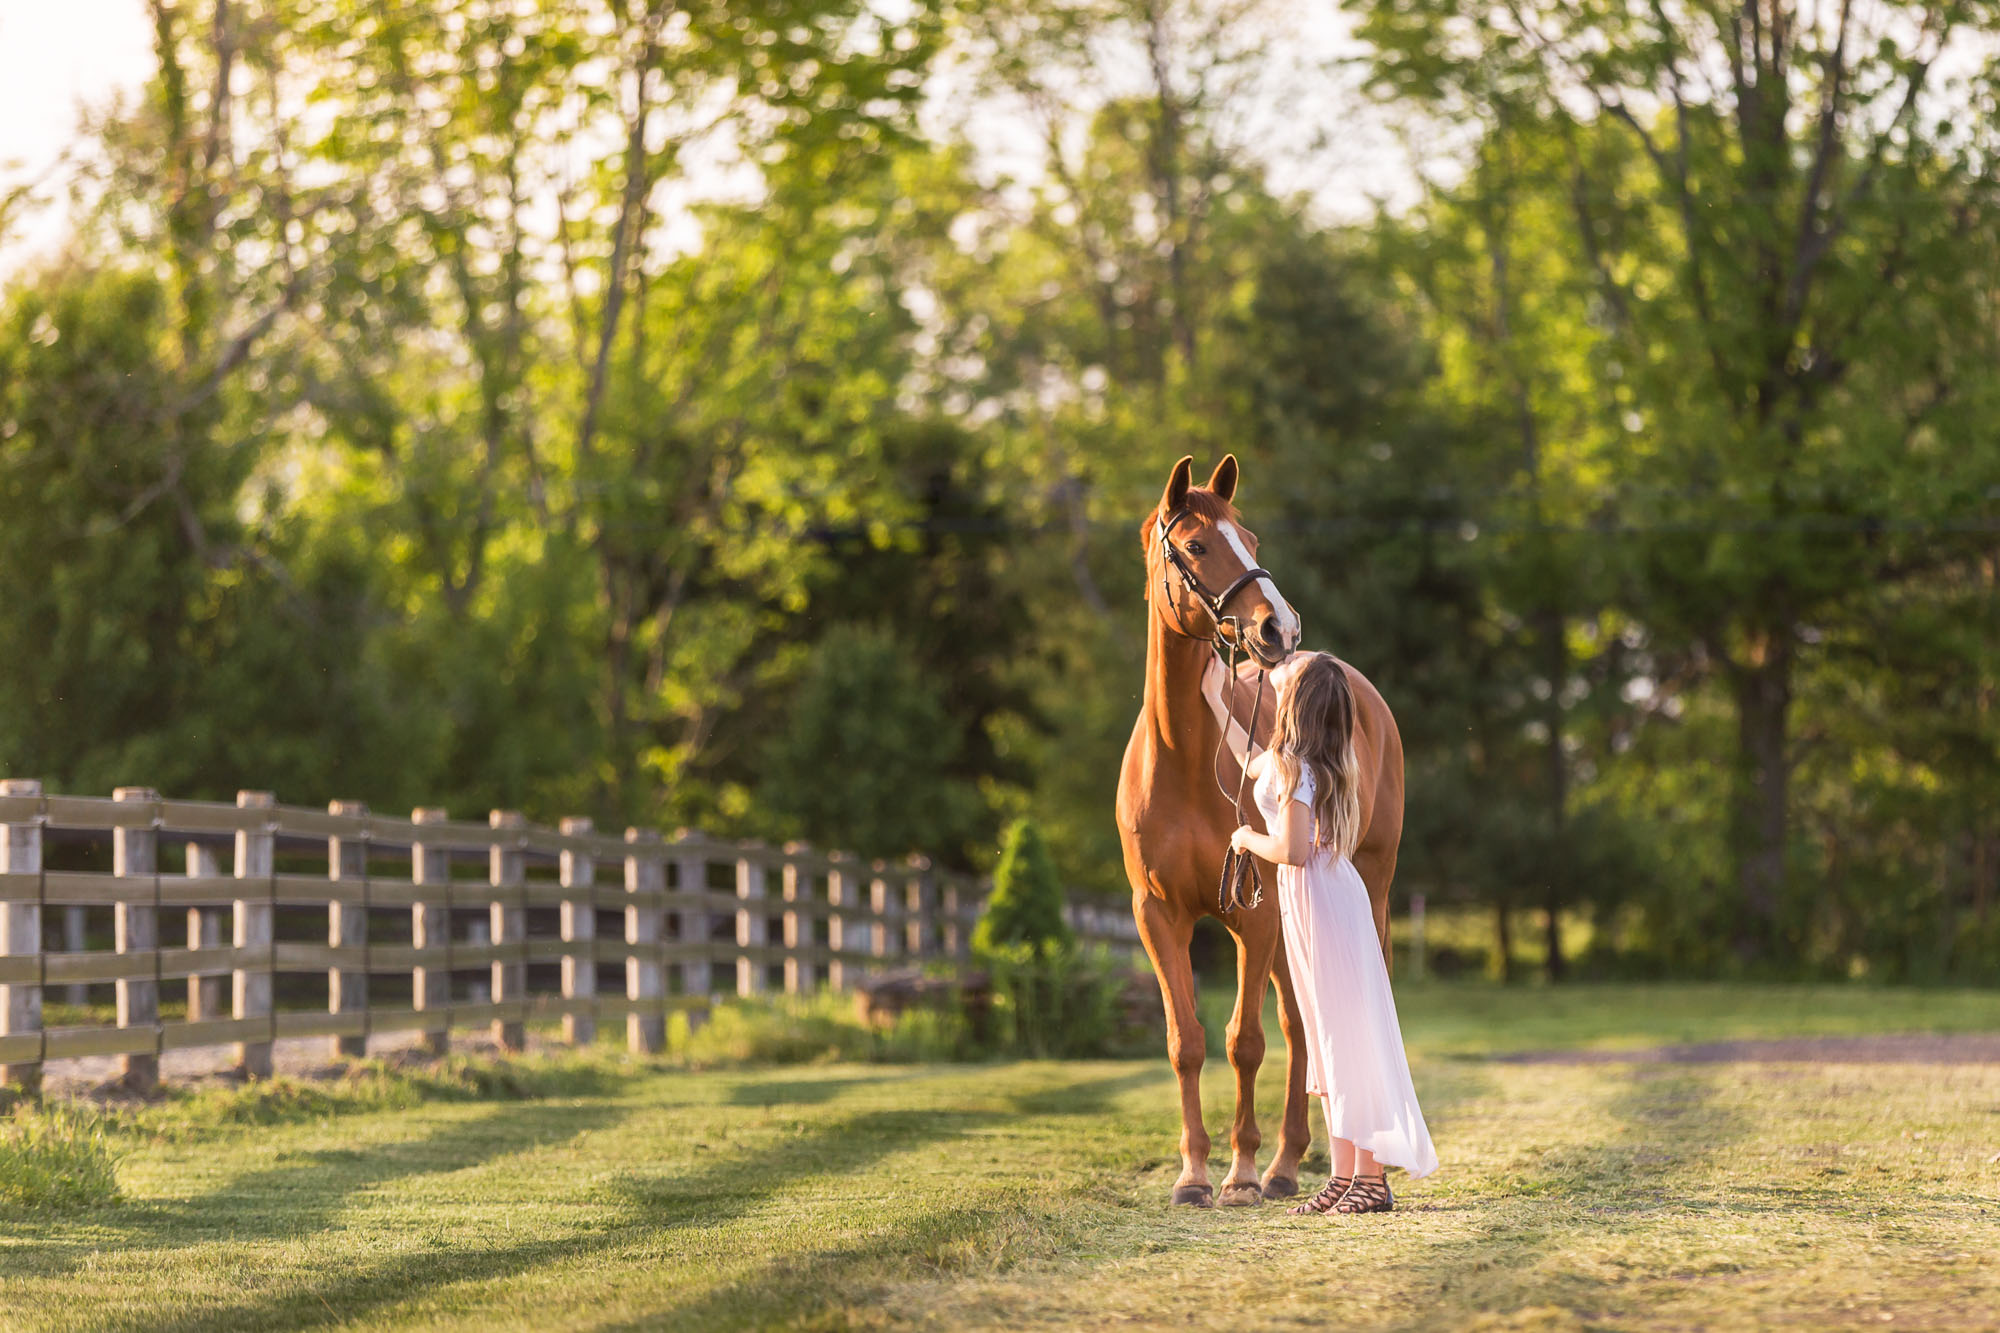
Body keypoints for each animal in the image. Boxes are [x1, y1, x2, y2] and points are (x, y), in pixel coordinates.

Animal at [1116, 453, 1406, 1208]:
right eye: (1195, 545)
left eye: (1247, 536)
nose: (1280, 627)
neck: (1183, 758)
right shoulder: (1158, 914)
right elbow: (1185, 1041)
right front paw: (1193, 1175)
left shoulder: (1253, 914)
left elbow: (1243, 1040)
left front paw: (1240, 1175)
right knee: (1304, 1023)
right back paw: (1287, 1164)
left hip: (1360, 890)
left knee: (1327, 1015)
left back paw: (1302, 1166)